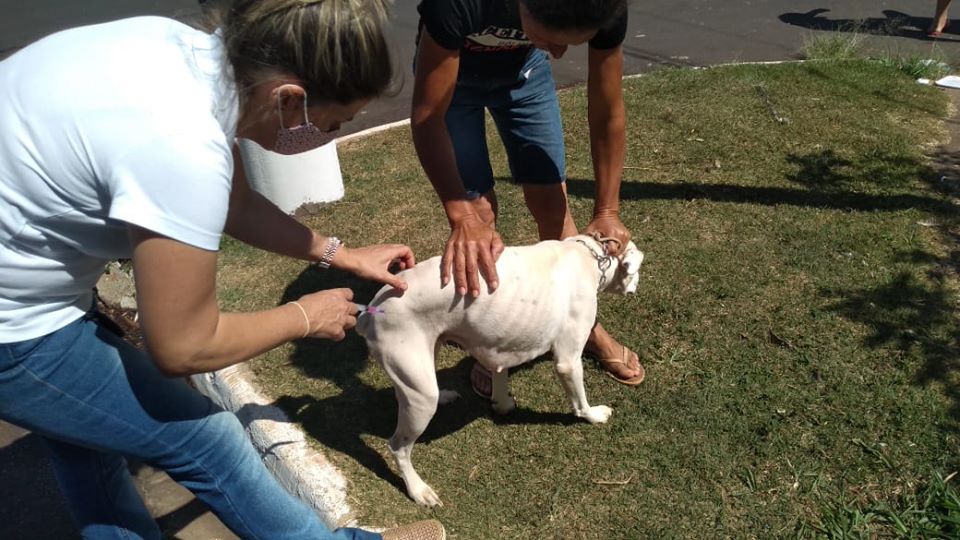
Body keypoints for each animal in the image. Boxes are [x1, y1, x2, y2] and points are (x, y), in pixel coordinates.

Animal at [354, 233, 644, 506]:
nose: (637, 285)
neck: (588, 255)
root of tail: (370, 312)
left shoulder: (500, 343)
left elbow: (499, 376)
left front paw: (502, 403)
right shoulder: (568, 360)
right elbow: (580, 402)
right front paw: (594, 415)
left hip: (424, 360)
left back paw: (445, 395)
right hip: (420, 399)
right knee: (398, 448)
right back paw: (418, 490)